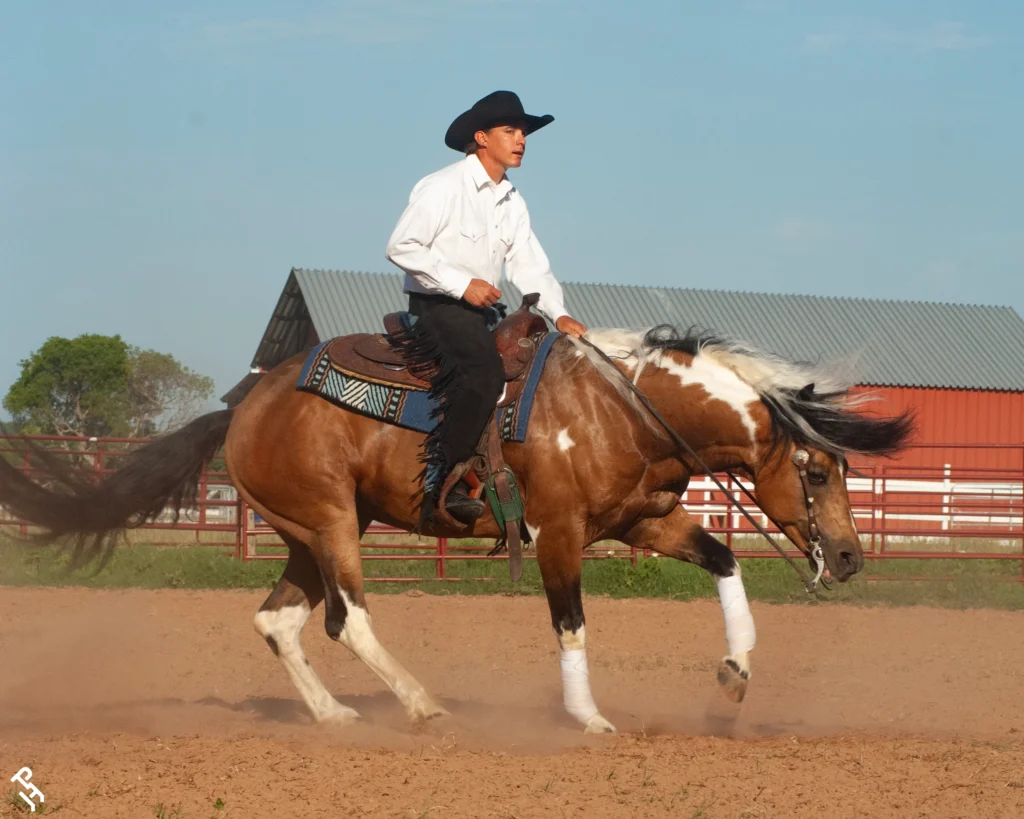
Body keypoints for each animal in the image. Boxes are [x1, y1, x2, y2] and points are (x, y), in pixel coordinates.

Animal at [0, 321, 914, 733]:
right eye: (819, 471)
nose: (849, 556)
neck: (622, 409)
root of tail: (243, 404)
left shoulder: (645, 523)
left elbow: (726, 563)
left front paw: (735, 673)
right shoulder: (558, 534)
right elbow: (572, 623)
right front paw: (589, 719)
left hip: (307, 534)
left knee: (278, 620)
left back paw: (335, 715)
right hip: (331, 523)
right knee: (349, 619)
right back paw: (420, 702)